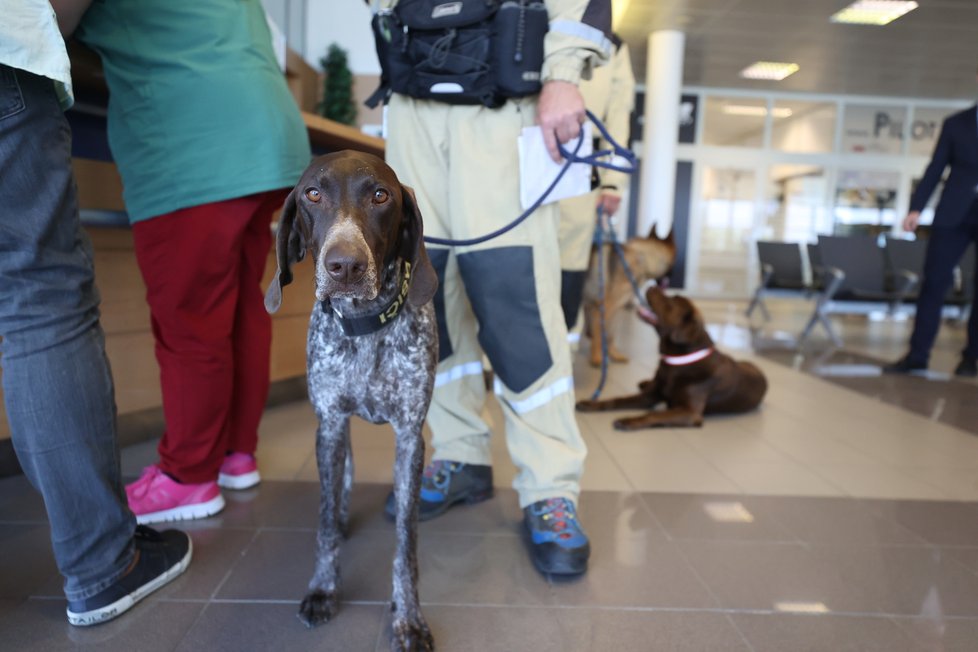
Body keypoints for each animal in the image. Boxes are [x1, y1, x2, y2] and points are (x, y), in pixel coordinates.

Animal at [264, 150, 436, 652]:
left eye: (380, 195)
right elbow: (323, 523)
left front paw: (408, 617)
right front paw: (323, 589)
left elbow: (406, 545)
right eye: (312, 194)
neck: (365, 327)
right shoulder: (331, 423)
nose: (345, 265)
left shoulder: (410, 437)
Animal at [580, 224, 672, 366]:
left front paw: (614, 354)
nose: (670, 282)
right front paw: (597, 358)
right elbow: (599, 334)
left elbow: (611, 334)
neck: (641, 257)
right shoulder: (604, 309)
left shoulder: (616, 310)